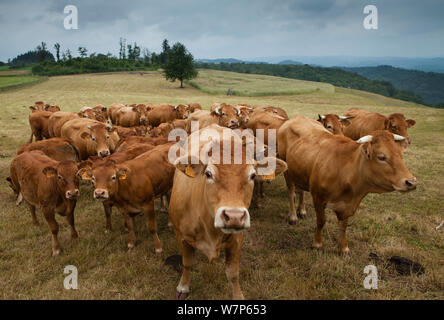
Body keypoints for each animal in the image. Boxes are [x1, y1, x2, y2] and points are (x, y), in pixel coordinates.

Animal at [168, 125, 286, 300]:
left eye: (252, 175)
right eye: (208, 174)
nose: (234, 217)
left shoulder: (236, 240)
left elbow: (232, 273)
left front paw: (238, 296)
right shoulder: (182, 237)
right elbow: (187, 263)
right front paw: (183, 286)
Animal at [278, 115, 416, 255]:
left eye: (401, 154)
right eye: (381, 157)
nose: (412, 182)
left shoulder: (349, 205)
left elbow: (344, 226)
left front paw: (344, 248)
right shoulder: (318, 198)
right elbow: (321, 222)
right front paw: (317, 244)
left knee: (300, 191)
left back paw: (302, 210)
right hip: (287, 170)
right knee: (291, 192)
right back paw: (293, 216)